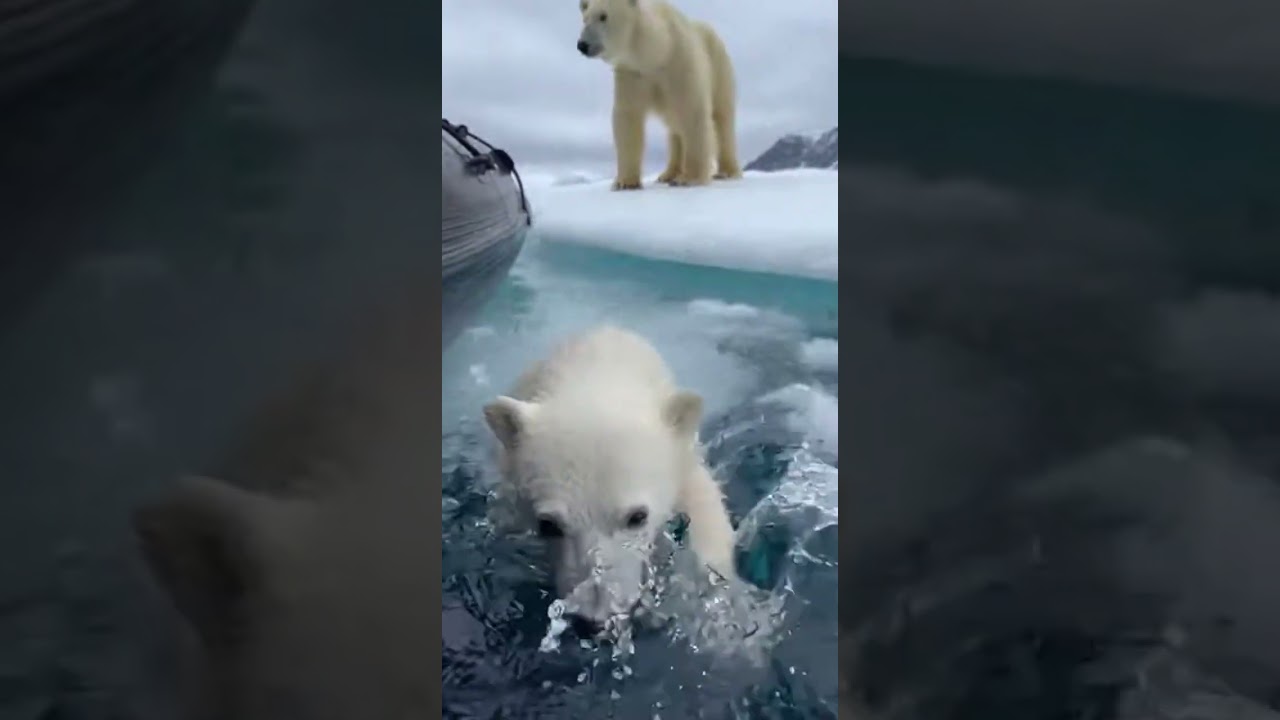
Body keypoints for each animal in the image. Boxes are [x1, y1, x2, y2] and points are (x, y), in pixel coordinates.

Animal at [576, 0, 743, 190]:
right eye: (585, 19)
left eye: (603, 16)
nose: (582, 44)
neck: (659, 52)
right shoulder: (632, 74)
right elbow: (628, 117)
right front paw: (625, 182)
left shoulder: (680, 64)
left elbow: (693, 111)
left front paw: (689, 178)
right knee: (675, 129)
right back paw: (668, 173)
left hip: (719, 66)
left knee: (722, 118)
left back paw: (727, 172)